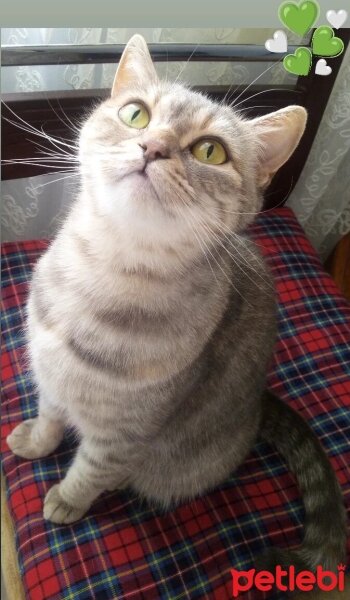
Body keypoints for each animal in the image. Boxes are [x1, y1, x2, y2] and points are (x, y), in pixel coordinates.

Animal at [6, 34, 346, 572]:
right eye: (136, 115)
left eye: (211, 150)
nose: (153, 147)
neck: (106, 270)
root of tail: (258, 408)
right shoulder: (51, 375)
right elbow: (49, 417)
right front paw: (37, 441)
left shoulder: (123, 434)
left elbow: (92, 469)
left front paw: (67, 499)